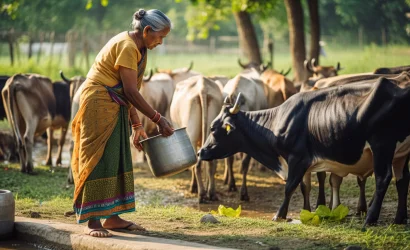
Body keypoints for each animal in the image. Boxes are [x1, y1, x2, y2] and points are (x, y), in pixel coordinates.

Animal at [200, 77, 410, 225]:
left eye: (213, 128)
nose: (201, 152)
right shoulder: (304, 164)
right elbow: (303, 187)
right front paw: (306, 212)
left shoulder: (297, 158)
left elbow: (289, 187)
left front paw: (279, 215)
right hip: (401, 154)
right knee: (402, 181)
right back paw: (399, 219)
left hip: (382, 145)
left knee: (383, 178)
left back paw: (370, 219)